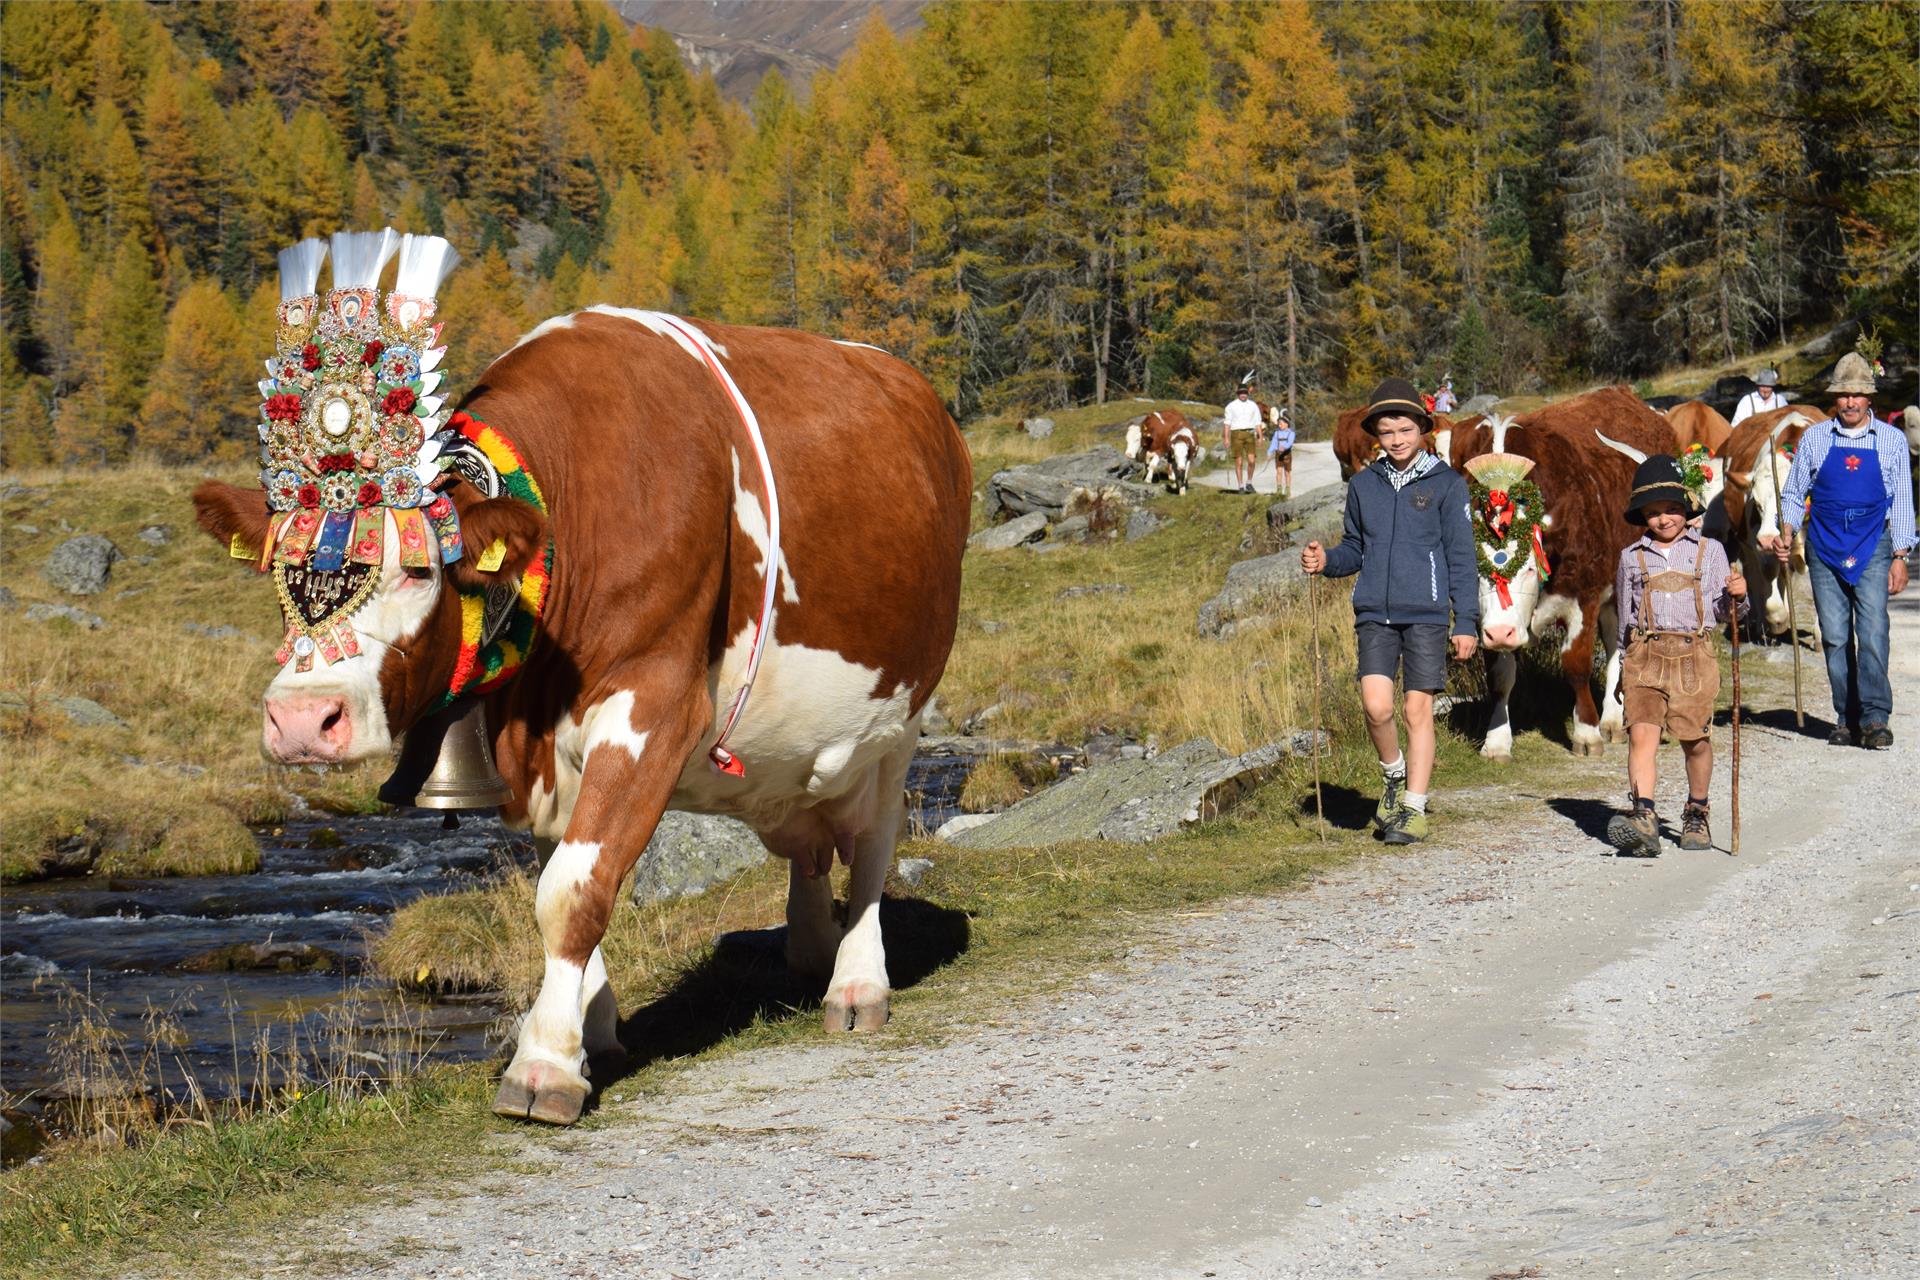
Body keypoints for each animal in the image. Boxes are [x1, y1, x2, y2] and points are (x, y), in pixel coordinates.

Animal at [194, 227, 975, 1120]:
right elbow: (565, 868)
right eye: (275, 573)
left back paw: (855, 984)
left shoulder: (653, 701)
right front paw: (593, 1028)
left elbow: (574, 886)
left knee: (874, 843)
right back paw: (811, 950)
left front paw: (544, 1066)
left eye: (420, 571)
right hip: (796, 753)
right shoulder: (531, 752)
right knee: (809, 841)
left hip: (901, 716)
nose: (301, 721)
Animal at [1451, 385, 1681, 756]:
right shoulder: (1485, 621)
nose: (1501, 633)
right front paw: (1496, 740)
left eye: (1530, 568)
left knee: (1621, 647)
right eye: (1473, 571)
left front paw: (1586, 732)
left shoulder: (1583, 596)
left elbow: (1576, 664)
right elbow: (1499, 678)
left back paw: (1613, 720)